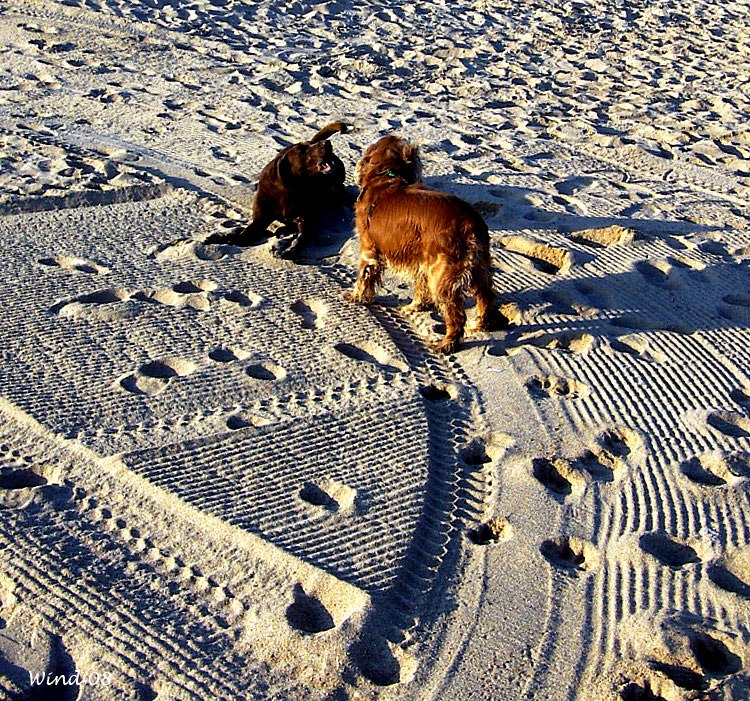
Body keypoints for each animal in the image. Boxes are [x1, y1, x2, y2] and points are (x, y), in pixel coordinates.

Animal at [204, 121, 348, 256]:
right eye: (302, 151)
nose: (327, 143)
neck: (291, 190)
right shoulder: (259, 220)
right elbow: (244, 235)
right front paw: (227, 238)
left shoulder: (305, 219)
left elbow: (302, 237)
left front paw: (290, 250)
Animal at [352, 134, 500, 352]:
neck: (387, 176)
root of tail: (470, 223)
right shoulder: (422, 261)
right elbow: (421, 289)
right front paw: (415, 307)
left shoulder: (369, 249)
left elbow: (364, 277)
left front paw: (356, 297)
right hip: (479, 269)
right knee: (486, 297)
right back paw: (479, 324)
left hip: (442, 276)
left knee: (457, 317)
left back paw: (445, 345)